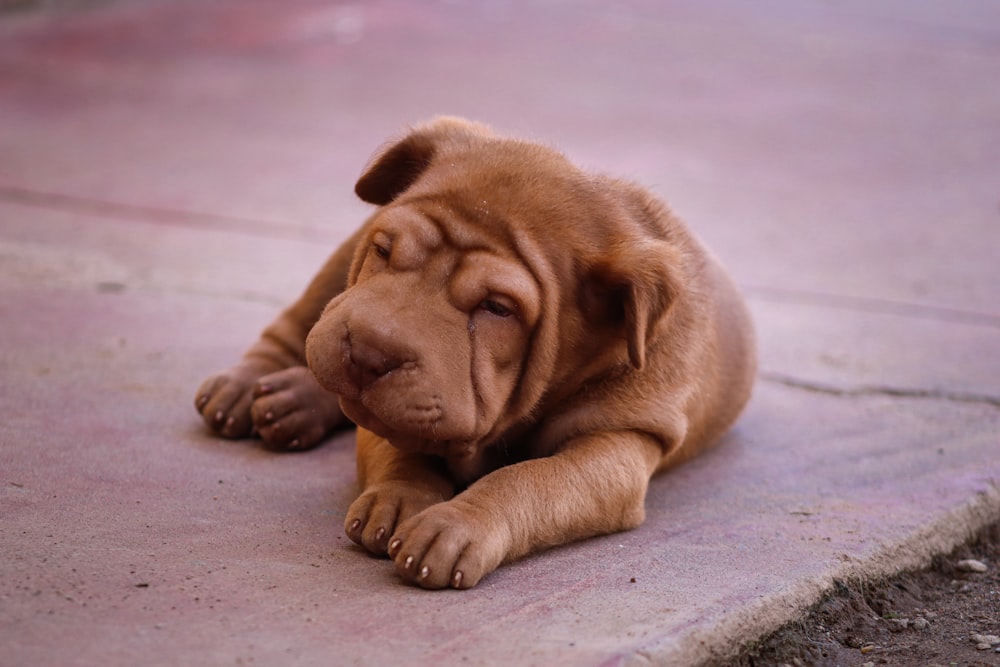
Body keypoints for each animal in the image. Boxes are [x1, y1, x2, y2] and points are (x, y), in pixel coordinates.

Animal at [195, 117, 752, 588]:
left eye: (496, 309)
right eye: (384, 250)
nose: (368, 352)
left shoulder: (619, 444)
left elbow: (530, 480)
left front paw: (455, 523)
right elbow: (398, 445)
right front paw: (399, 497)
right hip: (336, 270)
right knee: (295, 326)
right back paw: (252, 388)